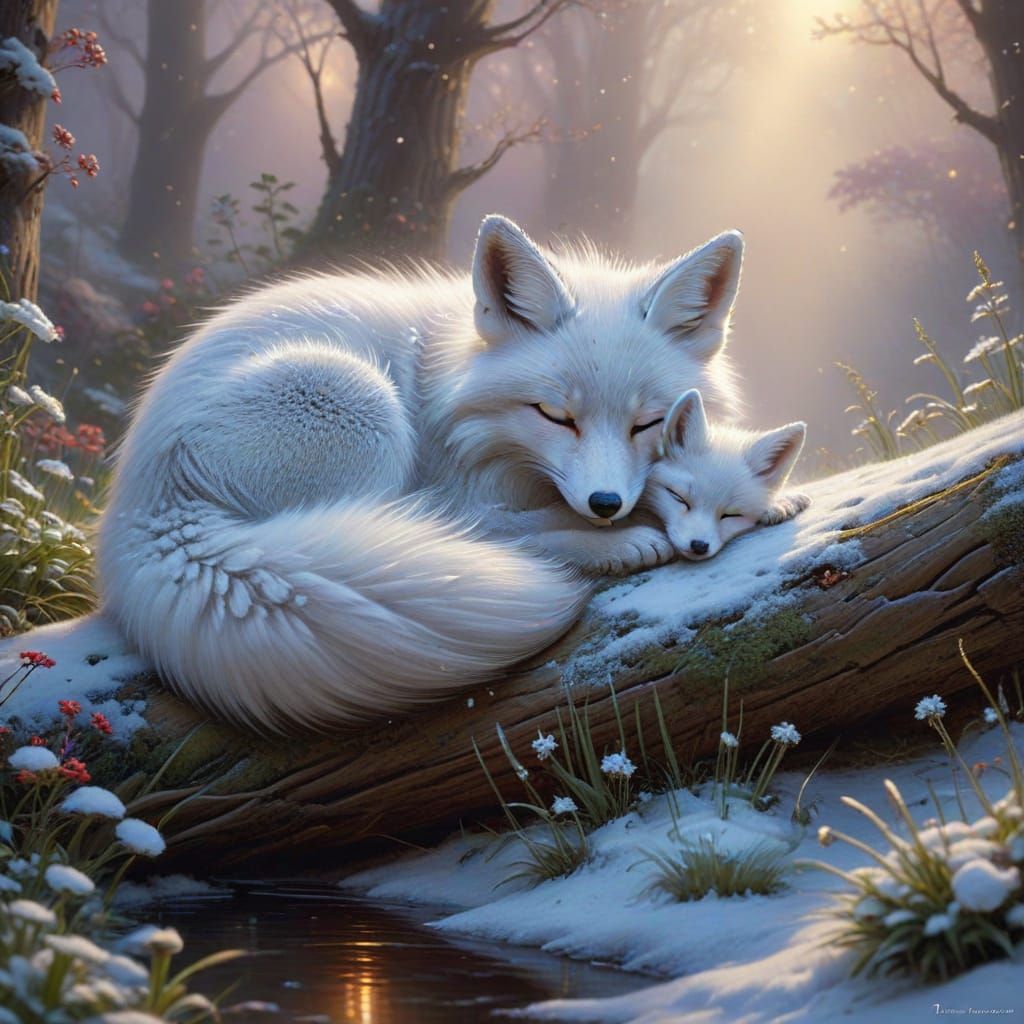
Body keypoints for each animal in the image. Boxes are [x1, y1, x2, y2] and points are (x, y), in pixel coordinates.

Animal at [98, 214, 749, 732]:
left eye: (648, 422)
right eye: (555, 415)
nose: (607, 503)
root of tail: (139, 516)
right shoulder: (459, 478)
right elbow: (500, 519)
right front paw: (620, 532)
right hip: (363, 403)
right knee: (464, 530)